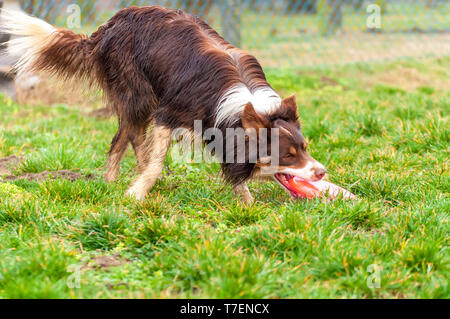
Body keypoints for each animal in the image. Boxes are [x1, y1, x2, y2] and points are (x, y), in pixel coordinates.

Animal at [0, 6, 324, 204]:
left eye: (305, 147)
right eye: (288, 154)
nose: (322, 172)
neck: (238, 102)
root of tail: (104, 29)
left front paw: (246, 203)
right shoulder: (168, 112)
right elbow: (156, 163)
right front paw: (136, 193)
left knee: (122, 137)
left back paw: (113, 182)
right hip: (137, 93)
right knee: (130, 136)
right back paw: (124, 181)